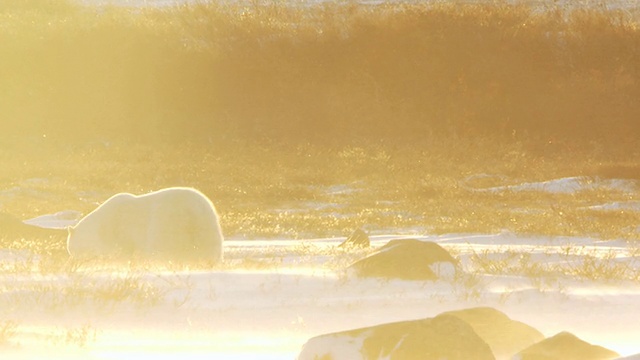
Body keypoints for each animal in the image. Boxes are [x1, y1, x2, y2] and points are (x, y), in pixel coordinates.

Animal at [67, 188, 222, 262]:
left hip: (167, 226)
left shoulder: (121, 233)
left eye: (71, 248)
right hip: (210, 228)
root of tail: (194, 212)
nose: (74, 261)